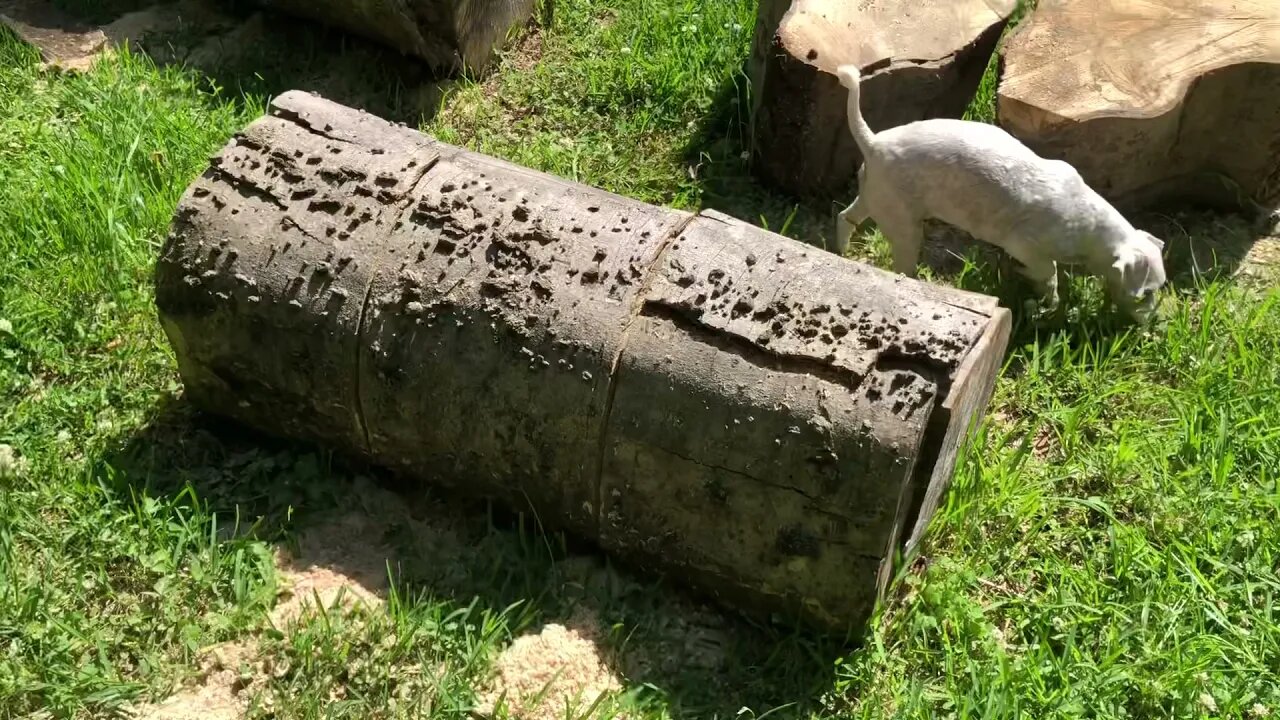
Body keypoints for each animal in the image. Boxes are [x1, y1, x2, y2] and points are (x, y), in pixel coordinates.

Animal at [834, 64, 1167, 319]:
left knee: (844, 217)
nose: (1151, 324)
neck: (1090, 225)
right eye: (1145, 294)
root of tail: (873, 142)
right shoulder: (1024, 245)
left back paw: (840, 252)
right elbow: (1049, 274)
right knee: (900, 267)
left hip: (876, 198)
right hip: (904, 228)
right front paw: (1045, 302)